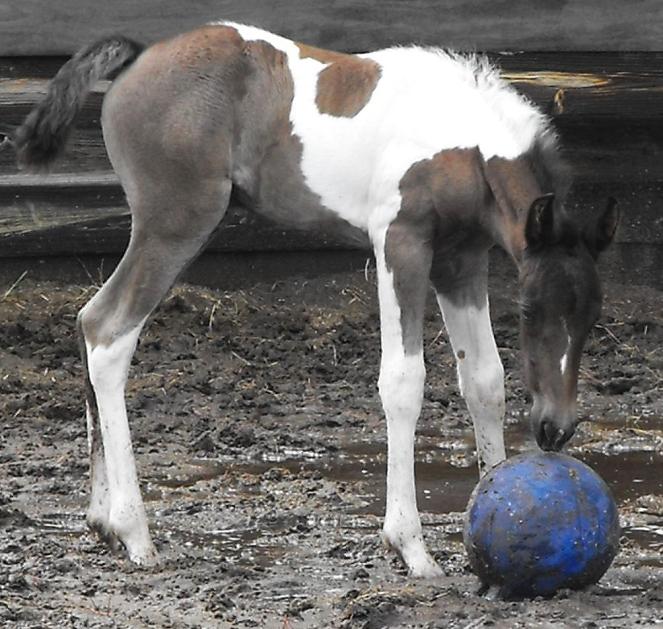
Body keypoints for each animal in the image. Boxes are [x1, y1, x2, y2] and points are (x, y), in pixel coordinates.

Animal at [14, 23, 616, 576]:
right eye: (531, 309)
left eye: (592, 318)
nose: (555, 428)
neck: (460, 139)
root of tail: (139, 58)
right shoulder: (401, 242)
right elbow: (404, 383)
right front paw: (410, 547)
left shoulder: (461, 259)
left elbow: (485, 380)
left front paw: (490, 499)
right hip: (175, 222)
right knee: (108, 333)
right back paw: (135, 533)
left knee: (88, 321)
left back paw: (101, 519)